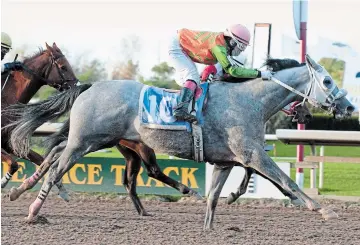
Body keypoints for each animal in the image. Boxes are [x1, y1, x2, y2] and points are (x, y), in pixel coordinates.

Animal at [1, 41, 77, 199]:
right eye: (63, 67)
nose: (76, 86)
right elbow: (14, 164)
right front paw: (3, 185)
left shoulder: (8, 143)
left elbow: (41, 161)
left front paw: (62, 190)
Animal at [5, 55, 354, 228]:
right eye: (327, 81)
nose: (349, 107)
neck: (250, 101)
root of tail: (90, 86)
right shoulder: (252, 154)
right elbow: (285, 180)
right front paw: (322, 209)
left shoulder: (227, 160)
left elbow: (215, 197)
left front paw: (210, 227)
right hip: (86, 141)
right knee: (55, 169)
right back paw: (33, 212)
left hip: (94, 140)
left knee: (52, 155)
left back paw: (18, 192)